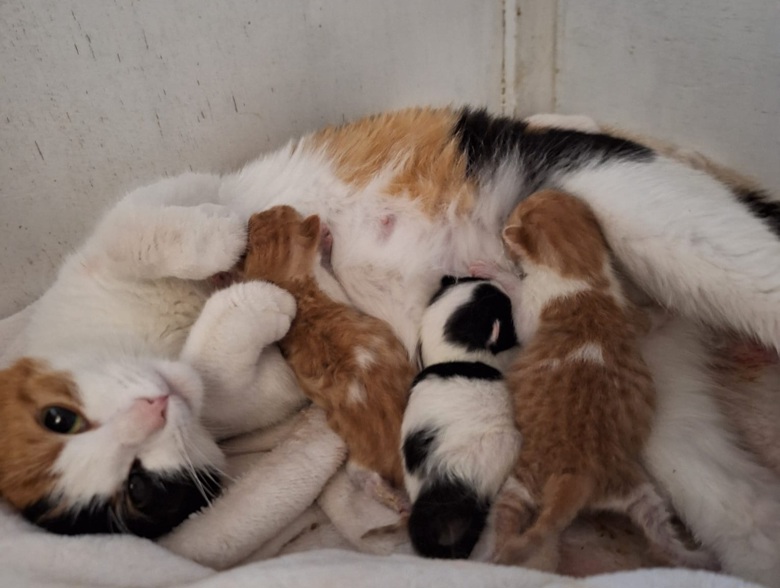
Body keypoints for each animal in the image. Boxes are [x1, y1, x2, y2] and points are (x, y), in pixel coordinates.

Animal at [233, 204, 418, 508]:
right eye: (281, 212)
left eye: (262, 219)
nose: (257, 212)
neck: (291, 287)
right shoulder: (335, 287)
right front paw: (326, 237)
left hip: (357, 459)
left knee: (364, 477)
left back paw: (393, 499)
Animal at [472, 191, 716, 572]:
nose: (504, 225)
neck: (583, 277)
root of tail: (580, 475)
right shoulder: (631, 315)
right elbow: (649, 319)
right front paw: (668, 310)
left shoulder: (531, 312)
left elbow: (518, 293)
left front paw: (496, 271)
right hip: (636, 490)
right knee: (659, 537)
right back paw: (696, 557)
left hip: (522, 480)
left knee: (507, 518)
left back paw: (489, 555)